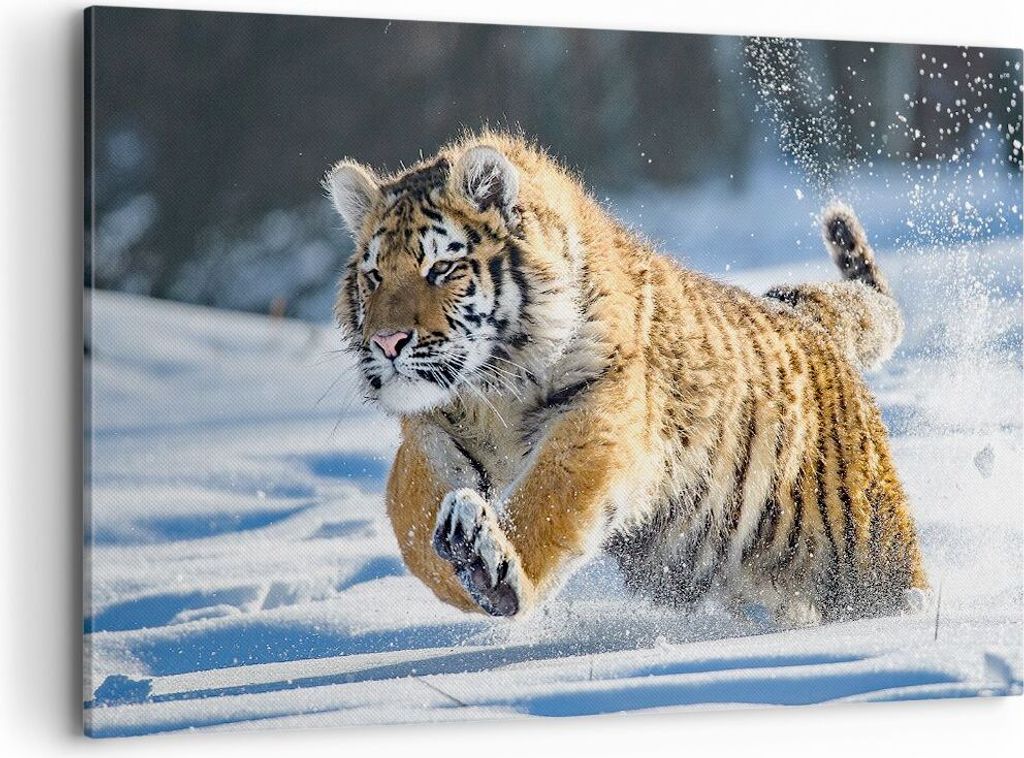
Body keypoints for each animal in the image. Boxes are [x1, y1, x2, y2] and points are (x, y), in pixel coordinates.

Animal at [323, 130, 926, 626]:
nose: (387, 343)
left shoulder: (598, 413)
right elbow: (412, 518)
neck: (491, 389)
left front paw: (490, 566)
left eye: (441, 268)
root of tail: (807, 317)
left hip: (868, 550)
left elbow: (549, 498)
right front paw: (459, 562)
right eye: (374, 276)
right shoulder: (428, 429)